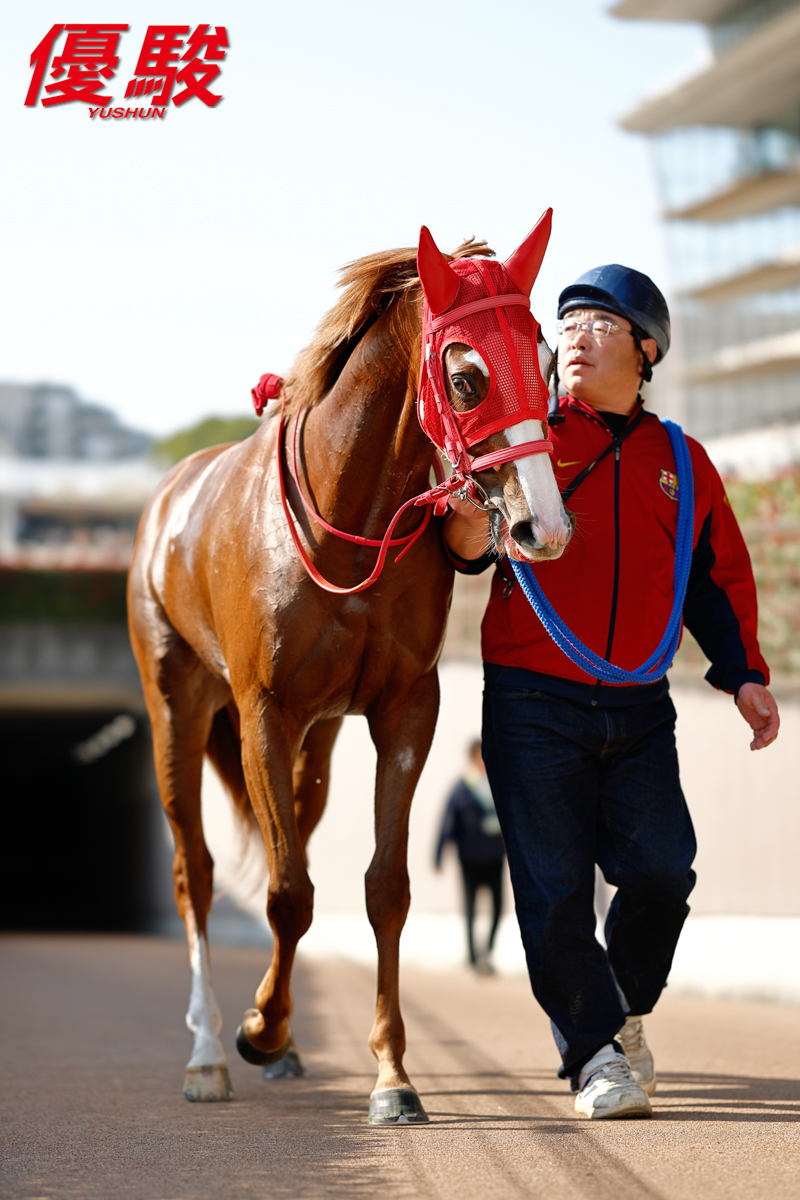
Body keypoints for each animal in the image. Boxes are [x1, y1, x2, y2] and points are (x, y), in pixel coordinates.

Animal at [127, 217, 573, 1124]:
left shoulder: (404, 708)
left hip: (321, 737)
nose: (542, 526)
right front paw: (257, 1030)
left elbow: (383, 887)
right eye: (466, 377)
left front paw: (391, 1074)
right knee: (197, 872)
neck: (347, 517)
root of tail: (169, 497)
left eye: (547, 360)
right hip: (176, 703)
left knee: (292, 832)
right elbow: (287, 891)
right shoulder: (264, 711)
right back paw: (209, 1049)